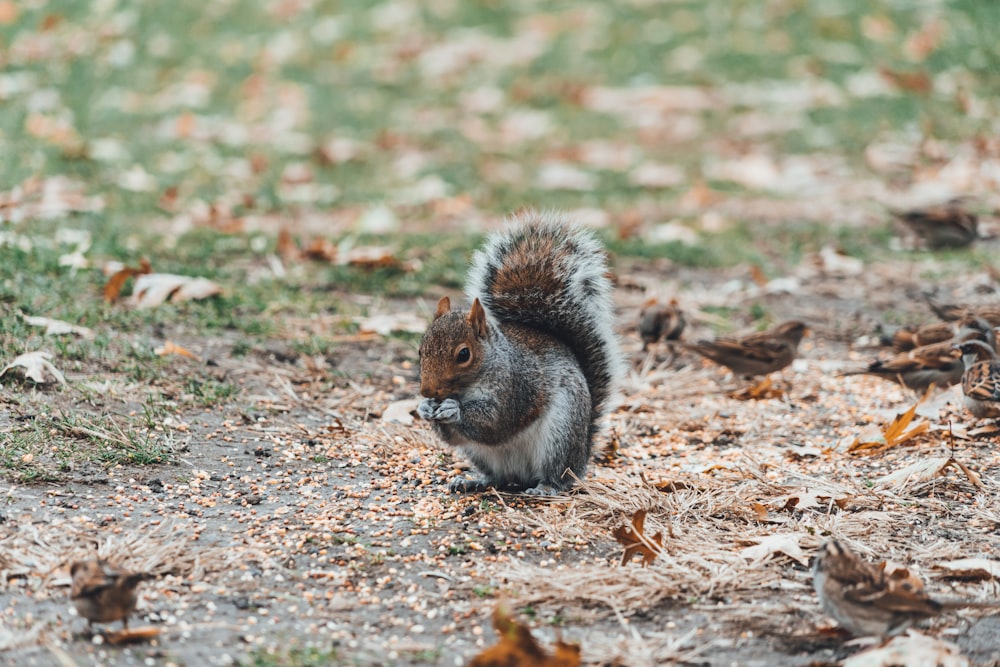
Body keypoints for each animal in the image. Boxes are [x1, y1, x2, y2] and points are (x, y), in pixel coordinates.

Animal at [416, 213, 620, 496]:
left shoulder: (517, 387)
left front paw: (453, 409)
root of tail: (581, 459)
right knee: (499, 477)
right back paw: (474, 481)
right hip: (480, 454)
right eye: (420, 350)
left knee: (558, 475)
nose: (426, 391)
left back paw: (547, 487)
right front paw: (424, 408)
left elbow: (495, 421)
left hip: (560, 435)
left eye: (464, 354)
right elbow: (453, 436)